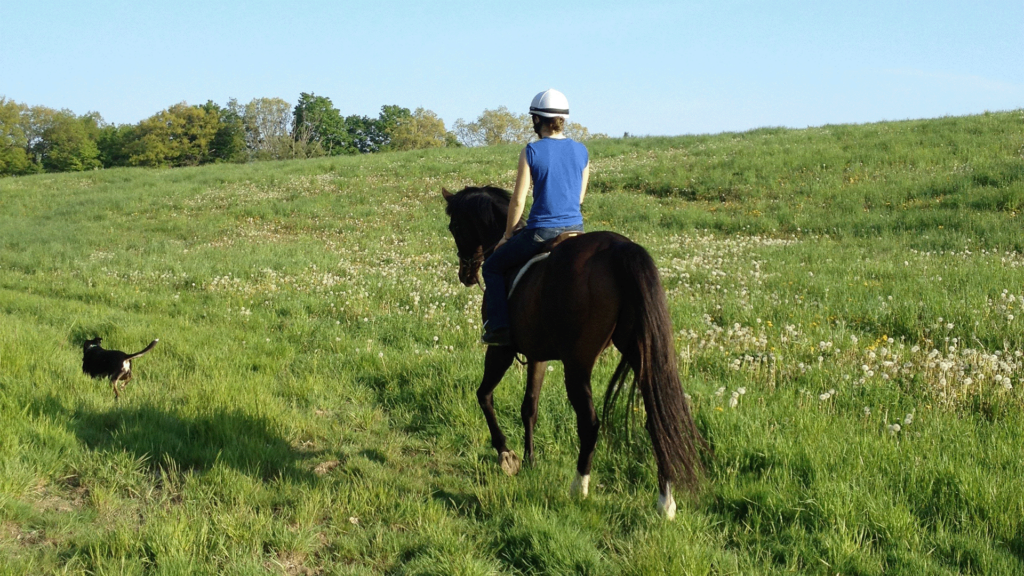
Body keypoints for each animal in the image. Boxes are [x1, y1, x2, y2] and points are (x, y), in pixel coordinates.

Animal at [441, 185, 707, 519]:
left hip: (577, 362)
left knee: (590, 423)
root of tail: (620, 249)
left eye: (455, 226)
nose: (465, 274)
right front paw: (530, 460)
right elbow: (529, 407)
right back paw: (665, 501)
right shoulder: (537, 355)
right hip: (639, 354)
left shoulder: (501, 350)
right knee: (657, 420)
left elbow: (484, 396)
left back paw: (579, 487)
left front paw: (507, 455)